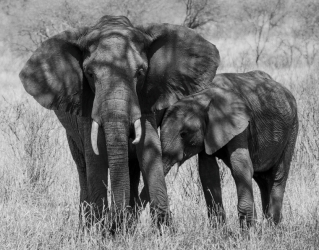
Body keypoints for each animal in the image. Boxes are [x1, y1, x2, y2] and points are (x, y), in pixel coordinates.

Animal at [18, 14, 221, 229]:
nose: (115, 223)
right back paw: (88, 227)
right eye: (89, 74)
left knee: (132, 167)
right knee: (82, 166)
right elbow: (94, 154)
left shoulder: (146, 97)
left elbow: (148, 147)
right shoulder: (87, 103)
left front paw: (163, 230)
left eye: (140, 72)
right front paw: (101, 230)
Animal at [156, 71, 298, 229]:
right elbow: (208, 171)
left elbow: (240, 167)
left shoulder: (240, 124)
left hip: (292, 129)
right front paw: (220, 231)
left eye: (184, 133)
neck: (203, 97)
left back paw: (273, 226)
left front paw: (247, 230)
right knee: (262, 179)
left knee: (278, 175)